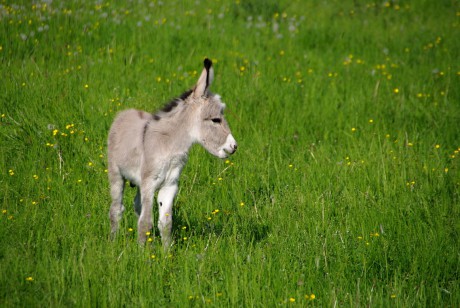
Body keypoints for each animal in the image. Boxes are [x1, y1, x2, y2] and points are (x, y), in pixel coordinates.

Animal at [108, 59, 237, 249]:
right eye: (215, 119)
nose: (234, 146)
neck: (170, 146)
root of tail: (124, 113)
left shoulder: (170, 185)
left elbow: (165, 223)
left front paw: (166, 252)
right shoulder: (149, 183)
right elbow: (146, 222)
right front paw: (142, 253)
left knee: (137, 206)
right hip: (116, 174)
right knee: (116, 209)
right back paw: (113, 240)